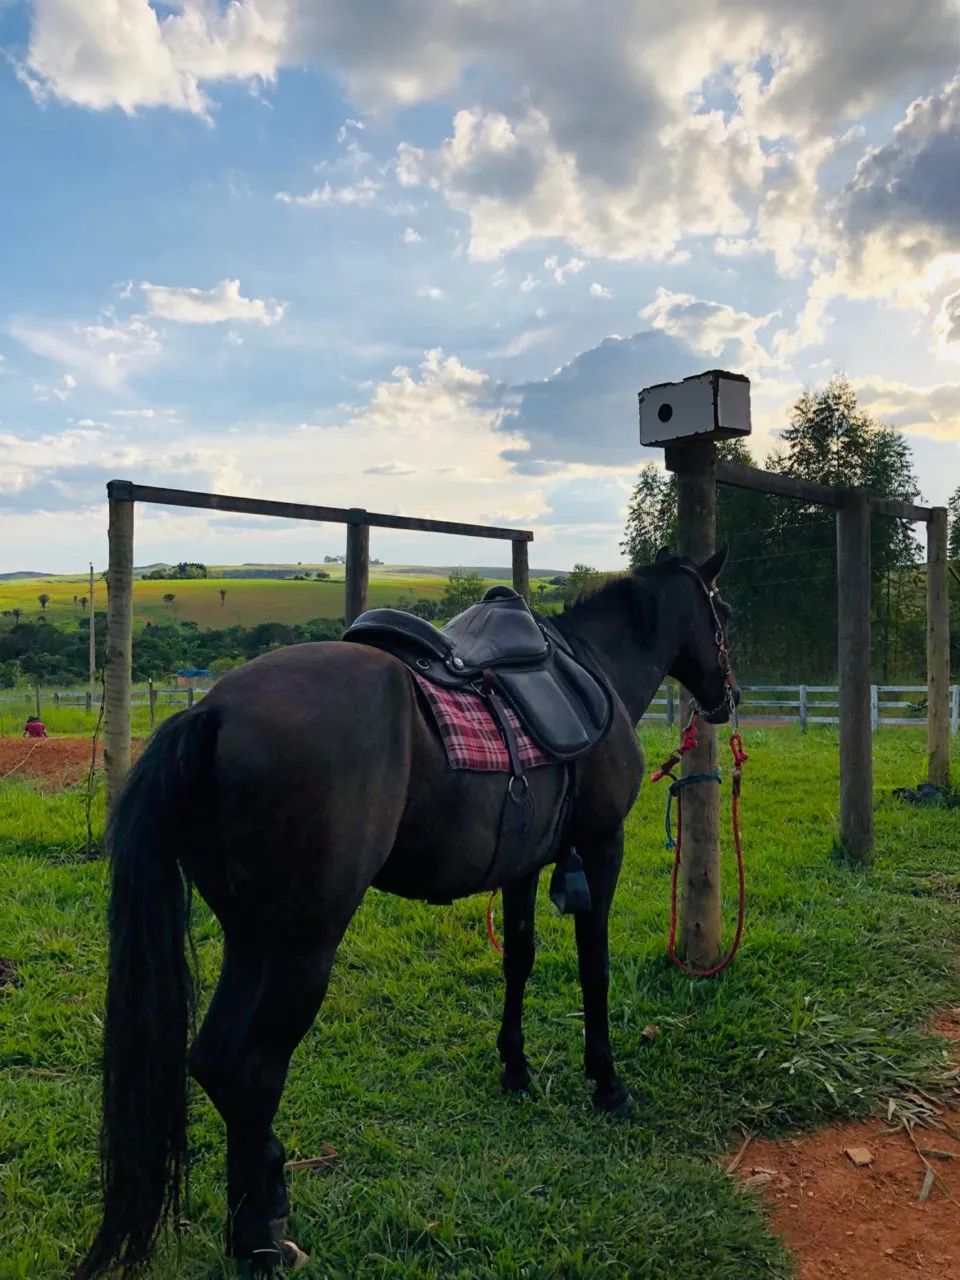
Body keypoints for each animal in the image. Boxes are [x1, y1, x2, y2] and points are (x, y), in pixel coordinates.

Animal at [76, 548, 738, 1278]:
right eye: (724, 613)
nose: (728, 697)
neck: (593, 667)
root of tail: (213, 713)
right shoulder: (601, 846)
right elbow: (594, 967)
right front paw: (607, 1083)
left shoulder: (524, 866)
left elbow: (520, 958)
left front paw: (515, 1068)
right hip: (303, 945)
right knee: (250, 1070)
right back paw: (264, 1235)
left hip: (251, 936)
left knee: (215, 1059)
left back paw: (247, 1222)